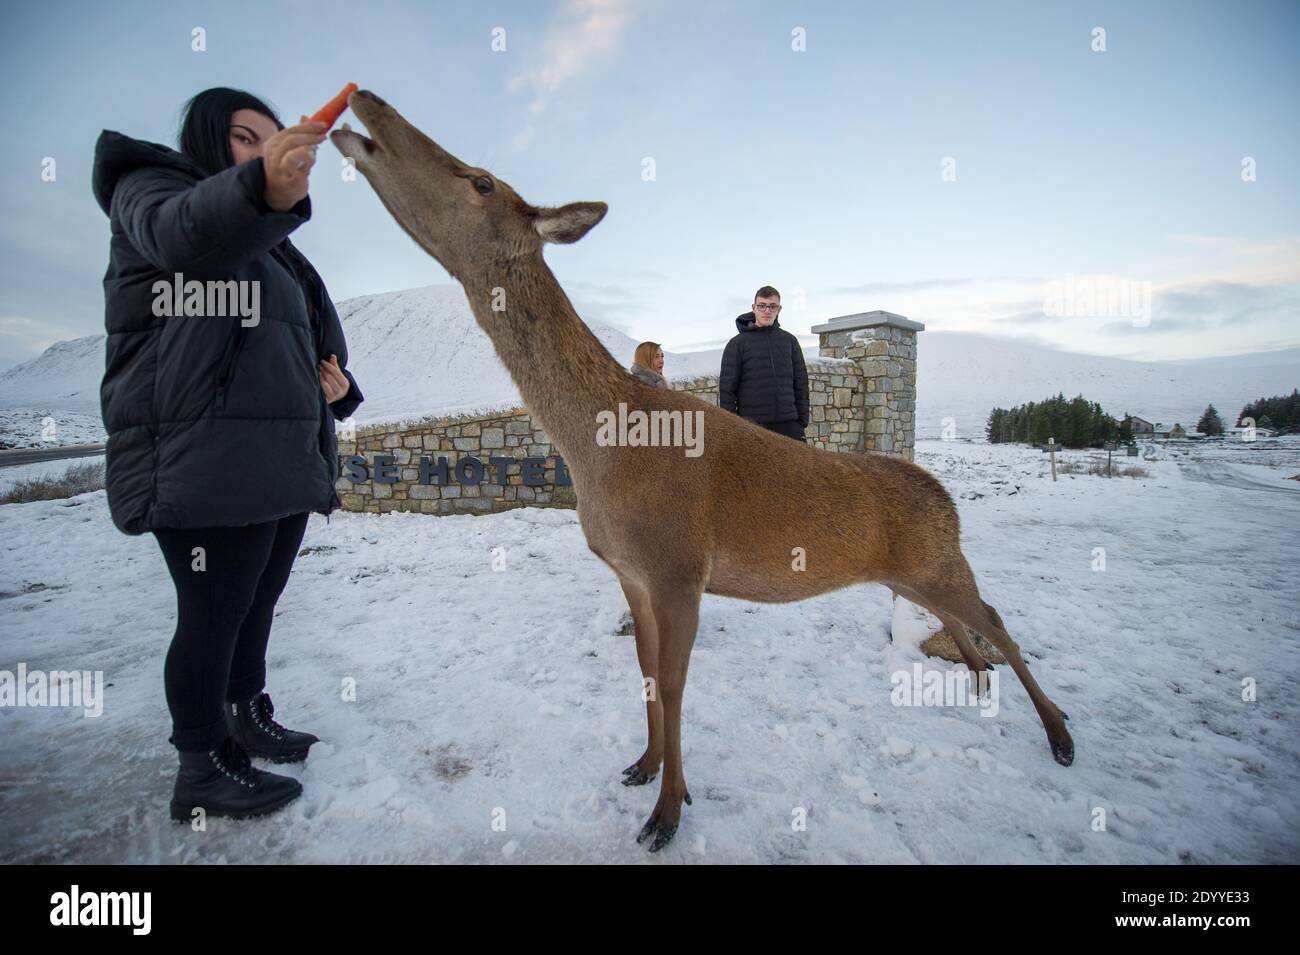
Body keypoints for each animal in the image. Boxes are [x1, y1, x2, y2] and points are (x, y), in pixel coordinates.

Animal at [332, 89, 1076, 852]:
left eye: (481, 181)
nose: (367, 101)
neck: (602, 453)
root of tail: (948, 498)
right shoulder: (631, 572)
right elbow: (645, 674)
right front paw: (641, 765)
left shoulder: (679, 566)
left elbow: (675, 682)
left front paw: (668, 812)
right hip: (912, 571)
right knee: (969, 622)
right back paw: (983, 689)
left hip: (938, 559)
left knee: (996, 617)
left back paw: (1060, 733)